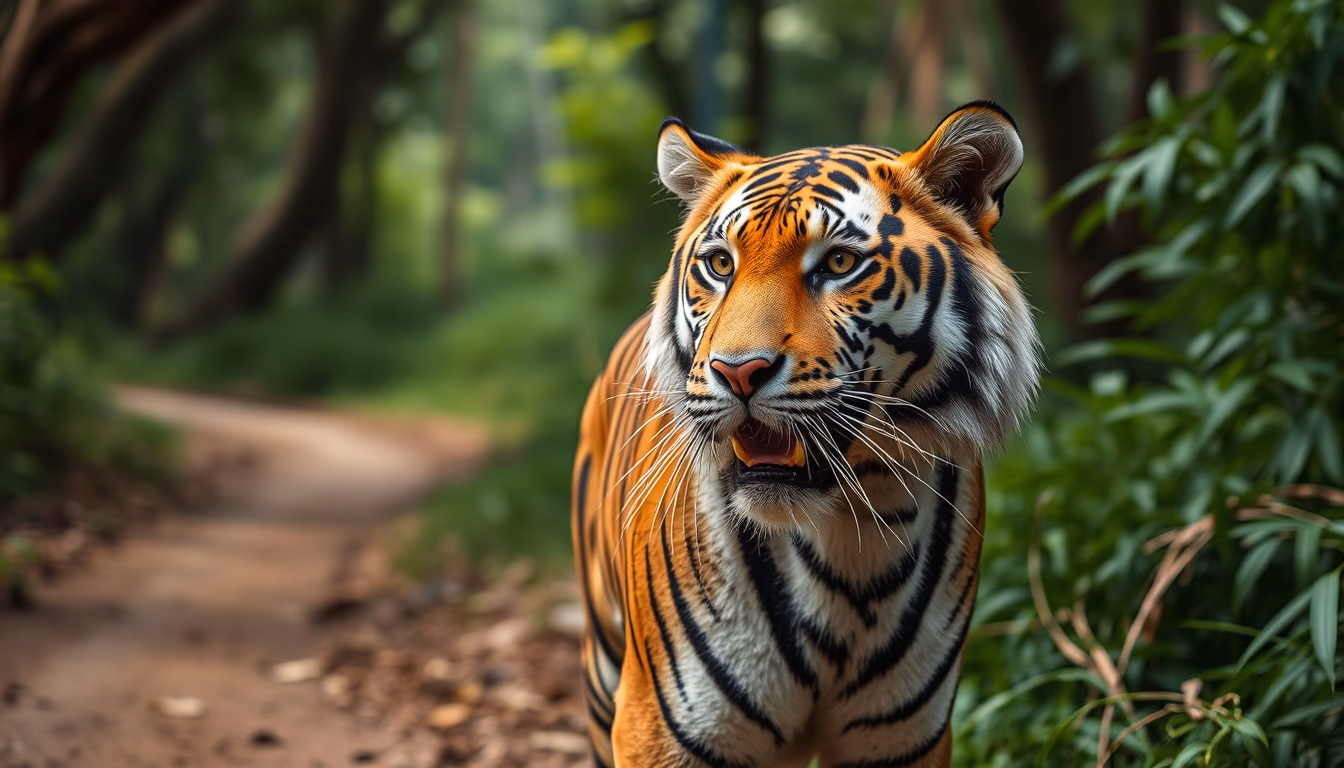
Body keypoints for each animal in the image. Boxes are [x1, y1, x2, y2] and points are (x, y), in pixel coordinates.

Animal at [571, 101, 1041, 768]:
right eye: (720, 264)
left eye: (840, 263)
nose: (737, 371)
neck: (859, 528)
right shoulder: (658, 728)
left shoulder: (905, 739)